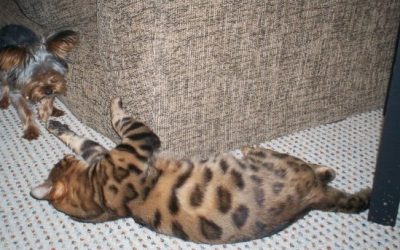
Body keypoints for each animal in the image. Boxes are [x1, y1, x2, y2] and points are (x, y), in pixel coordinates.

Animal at [29, 97, 370, 244]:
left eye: (58, 164)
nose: (61, 159)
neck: (100, 199)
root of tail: (310, 199)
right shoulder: (137, 145)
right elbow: (120, 119)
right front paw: (114, 103)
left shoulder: (104, 154)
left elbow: (83, 139)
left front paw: (56, 126)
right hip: (279, 161)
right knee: (299, 165)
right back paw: (254, 148)